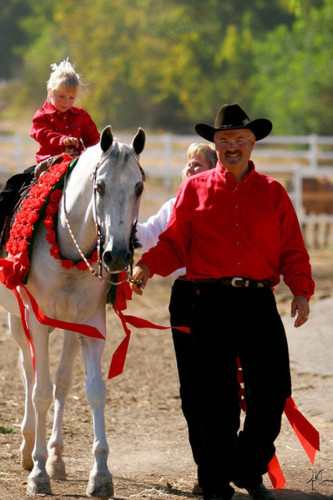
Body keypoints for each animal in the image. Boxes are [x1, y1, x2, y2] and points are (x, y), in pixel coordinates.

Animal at [0, 125, 145, 496]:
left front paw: (101, 474)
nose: (117, 255)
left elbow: (93, 390)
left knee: (61, 383)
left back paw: (56, 457)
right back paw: (29, 448)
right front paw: (38, 474)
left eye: (139, 187)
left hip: (68, 327)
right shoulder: (36, 322)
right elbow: (39, 391)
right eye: (100, 186)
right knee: (29, 373)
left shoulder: (92, 324)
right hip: (18, 321)